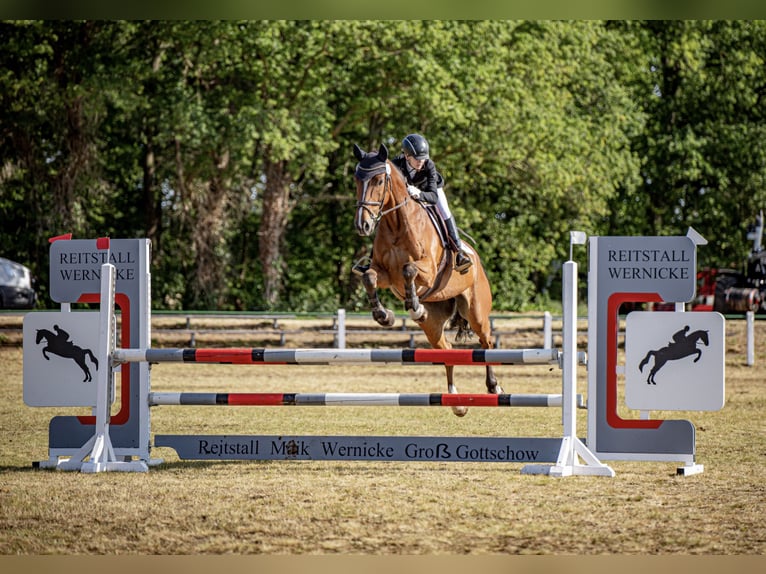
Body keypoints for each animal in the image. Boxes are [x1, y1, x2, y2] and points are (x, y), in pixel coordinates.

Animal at [352, 142, 500, 416]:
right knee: (447, 351)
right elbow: (369, 277)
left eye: (379, 180)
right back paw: (456, 402)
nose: (362, 225)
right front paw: (384, 315)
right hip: (434, 325)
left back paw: (494, 386)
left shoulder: (428, 271)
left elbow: (409, 269)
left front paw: (414, 305)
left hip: (476, 311)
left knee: (486, 342)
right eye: (357, 179)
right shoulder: (385, 274)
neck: (396, 223)